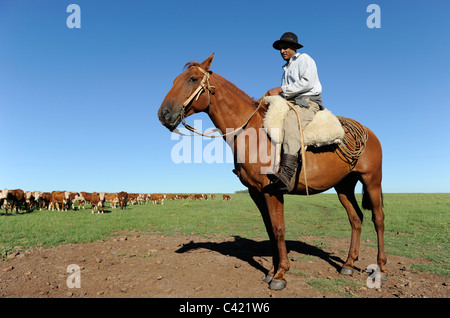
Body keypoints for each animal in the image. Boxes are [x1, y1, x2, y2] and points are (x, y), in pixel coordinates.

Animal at [158, 53, 386, 290]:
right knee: (356, 218)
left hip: (372, 180)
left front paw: (280, 274)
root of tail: (367, 131)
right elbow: (269, 229)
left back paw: (381, 268)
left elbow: (278, 229)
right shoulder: (256, 192)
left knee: (378, 218)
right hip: (344, 185)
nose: (164, 114)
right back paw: (348, 264)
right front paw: (271, 271)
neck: (252, 132)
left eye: (192, 79)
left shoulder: (273, 190)